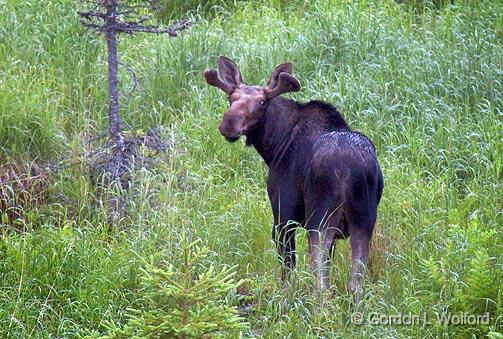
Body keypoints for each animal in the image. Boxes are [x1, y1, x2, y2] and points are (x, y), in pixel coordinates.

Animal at [203, 56, 384, 298]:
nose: (229, 122)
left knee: (319, 281)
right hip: (364, 222)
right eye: (230, 98)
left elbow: (288, 271)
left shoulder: (283, 216)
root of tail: (347, 170)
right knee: (356, 285)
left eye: (262, 102)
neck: (273, 146)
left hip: (319, 219)